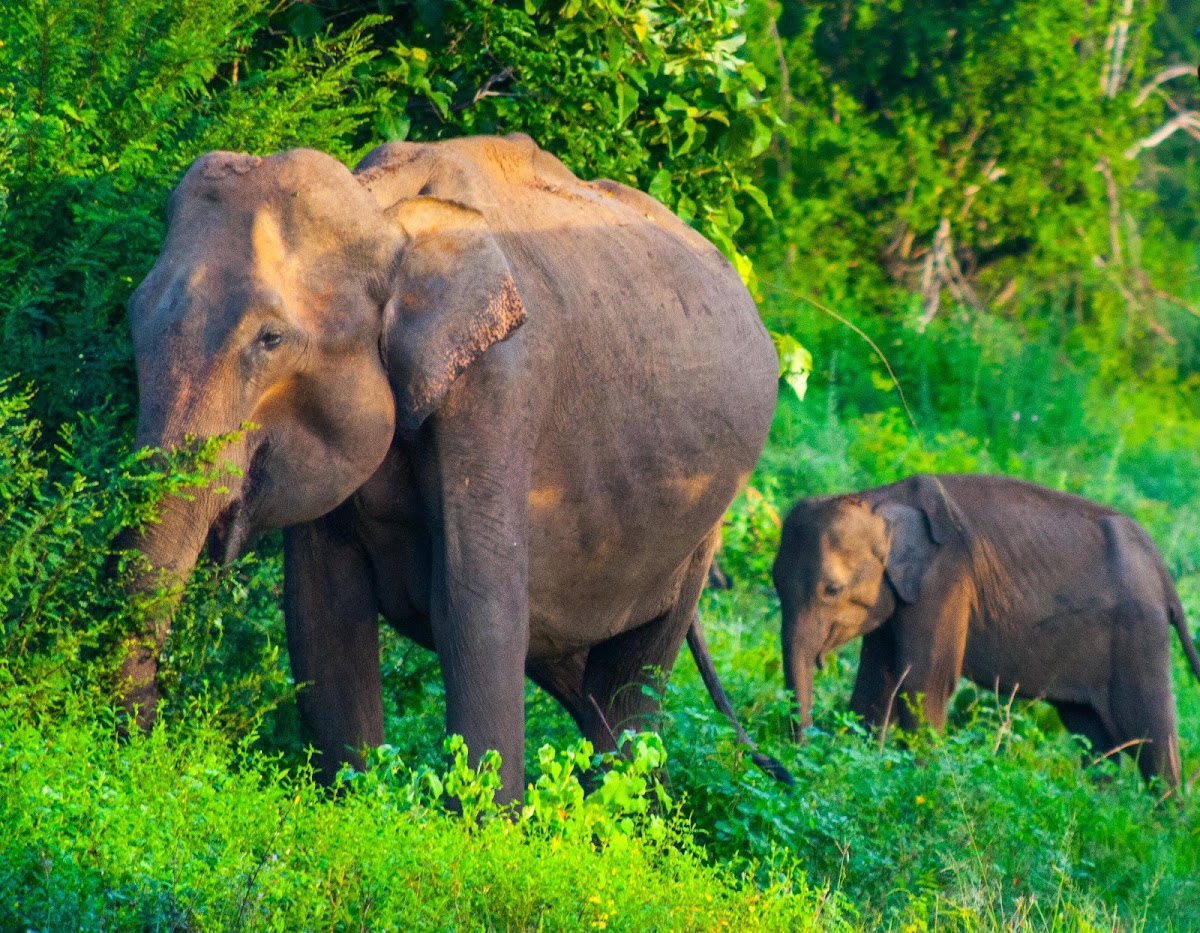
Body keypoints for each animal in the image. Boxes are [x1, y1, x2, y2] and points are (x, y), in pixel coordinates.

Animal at [121, 132, 777, 801]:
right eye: (132, 313)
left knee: (627, 692)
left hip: (704, 524)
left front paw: (488, 821)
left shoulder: (501, 385)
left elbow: (475, 605)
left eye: (270, 339)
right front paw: (354, 803)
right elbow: (321, 613)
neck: (385, 213)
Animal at [772, 472, 1195, 786]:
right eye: (774, 582)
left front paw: (926, 783)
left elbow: (925, 684)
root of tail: (1161, 568)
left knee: (1152, 738)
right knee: (1094, 738)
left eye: (831, 590)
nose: (795, 762)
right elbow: (876, 685)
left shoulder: (945, 581)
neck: (879, 500)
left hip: (1139, 633)